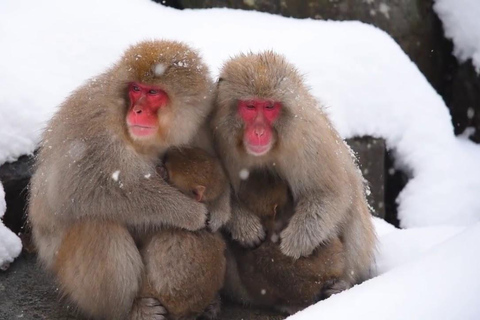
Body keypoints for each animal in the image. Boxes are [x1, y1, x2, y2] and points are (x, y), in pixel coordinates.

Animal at [28, 40, 231, 320]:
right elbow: (77, 192)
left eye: (153, 92)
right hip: (67, 275)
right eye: (135, 89)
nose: (137, 110)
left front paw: (220, 209)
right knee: (98, 225)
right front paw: (188, 212)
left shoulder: (200, 125)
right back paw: (130, 309)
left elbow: (216, 169)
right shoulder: (94, 128)